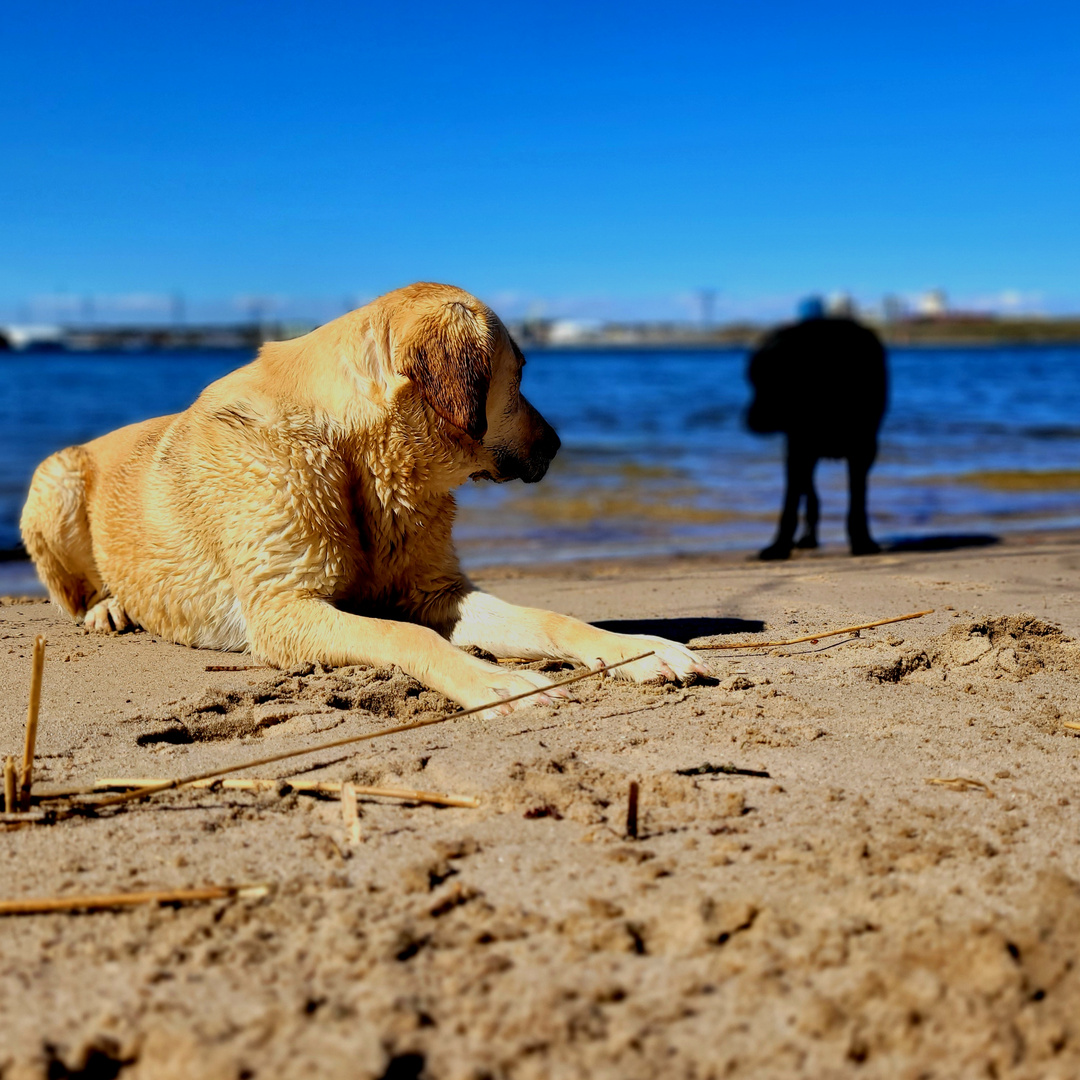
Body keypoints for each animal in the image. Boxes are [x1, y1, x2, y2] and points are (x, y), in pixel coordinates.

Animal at [23, 282, 708, 712]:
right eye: (517, 379)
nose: (560, 444)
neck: (363, 460)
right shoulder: (286, 609)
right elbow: (407, 638)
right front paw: (499, 683)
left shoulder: (435, 592)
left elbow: (549, 617)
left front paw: (641, 650)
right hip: (56, 479)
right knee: (76, 592)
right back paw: (108, 609)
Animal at [747, 315, 889, 561]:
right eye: (753, 381)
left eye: (776, 381)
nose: (750, 422)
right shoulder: (797, 449)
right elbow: (790, 506)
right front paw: (779, 546)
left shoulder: (862, 451)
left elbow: (857, 503)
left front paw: (862, 542)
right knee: (811, 496)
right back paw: (807, 538)